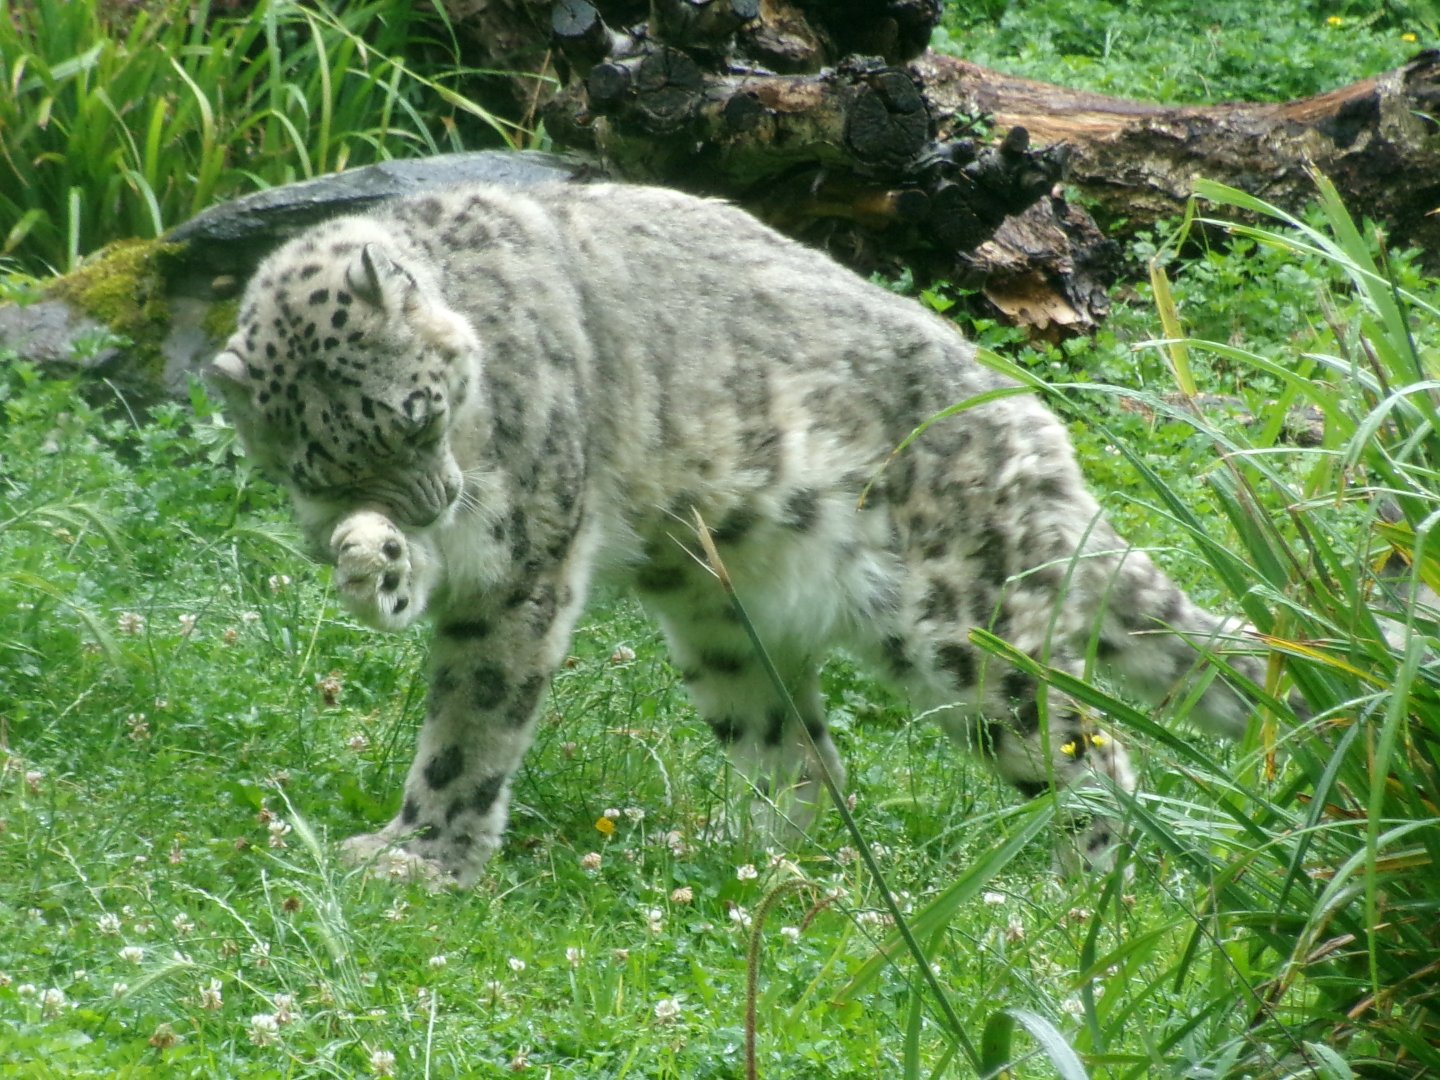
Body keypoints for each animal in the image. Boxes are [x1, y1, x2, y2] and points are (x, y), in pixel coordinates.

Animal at [208, 181, 1283, 886]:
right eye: (322, 467)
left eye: (418, 413)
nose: (430, 501)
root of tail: (1032, 424)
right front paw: (372, 561)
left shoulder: (522, 551)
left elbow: (473, 717)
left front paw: (423, 857)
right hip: (726, 630)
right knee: (805, 757)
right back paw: (745, 863)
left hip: (961, 632)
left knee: (1087, 749)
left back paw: (1073, 892)